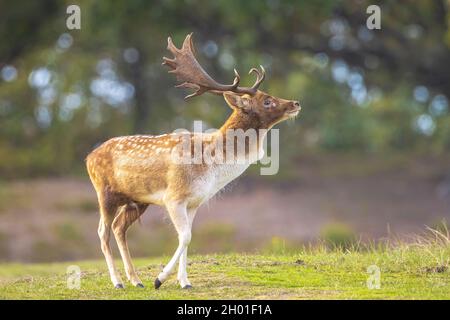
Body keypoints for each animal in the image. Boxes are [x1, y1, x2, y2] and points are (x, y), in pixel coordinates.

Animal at [86, 33, 300, 290]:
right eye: (267, 101)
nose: (295, 103)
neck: (211, 167)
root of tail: (88, 157)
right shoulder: (174, 197)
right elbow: (185, 236)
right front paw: (160, 279)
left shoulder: (194, 202)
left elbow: (188, 237)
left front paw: (184, 282)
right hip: (105, 192)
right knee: (102, 231)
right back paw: (118, 282)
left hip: (136, 200)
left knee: (119, 228)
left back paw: (136, 280)